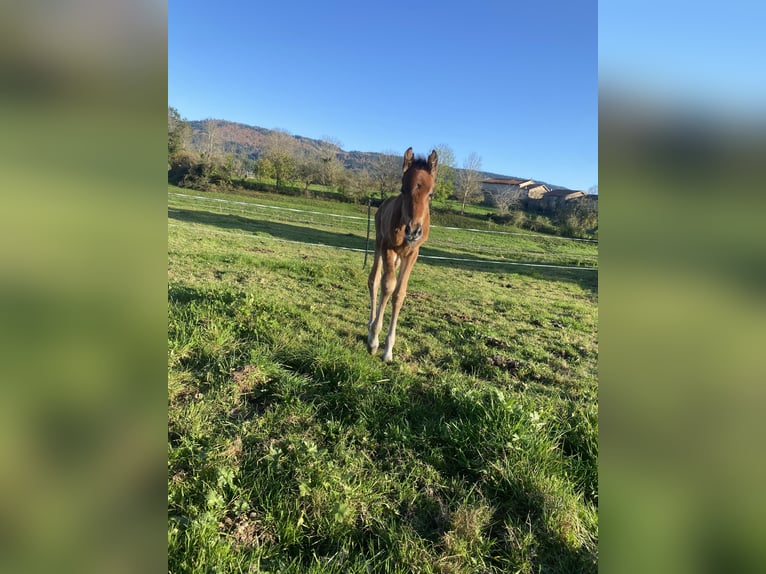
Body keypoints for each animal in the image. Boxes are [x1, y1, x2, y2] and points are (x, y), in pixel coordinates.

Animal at [368, 148, 438, 364]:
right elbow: (387, 285)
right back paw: (370, 328)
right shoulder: (387, 247)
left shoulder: (413, 254)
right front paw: (374, 341)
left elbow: (399, 294)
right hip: (378, 243)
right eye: (403, 189)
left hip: (399, 256)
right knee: (374, 280)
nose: (414, 231)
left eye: (431, 194)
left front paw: (388, 350)